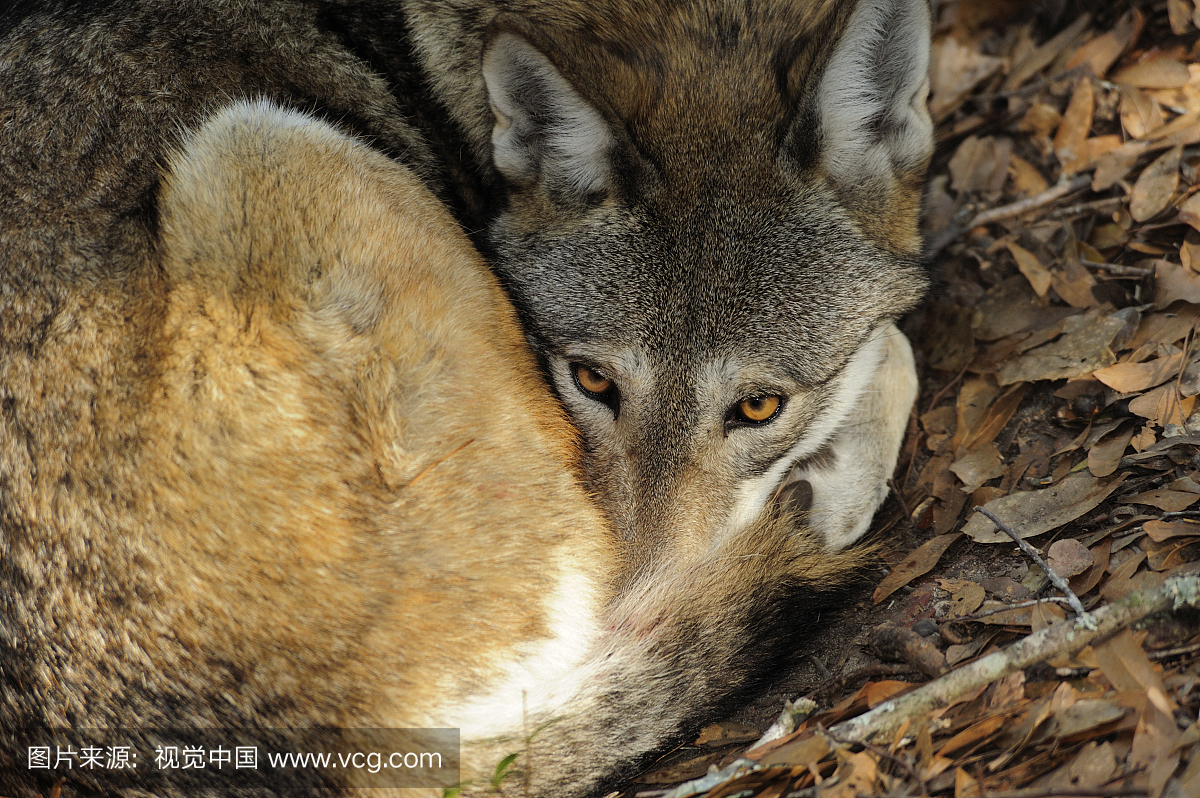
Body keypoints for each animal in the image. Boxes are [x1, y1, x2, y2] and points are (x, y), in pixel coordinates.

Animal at [0, 1, 931, 796]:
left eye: (759, 407)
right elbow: (895, 349)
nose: (638, 599)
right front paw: (832, 488)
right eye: (593, 381)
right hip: (254, 143)